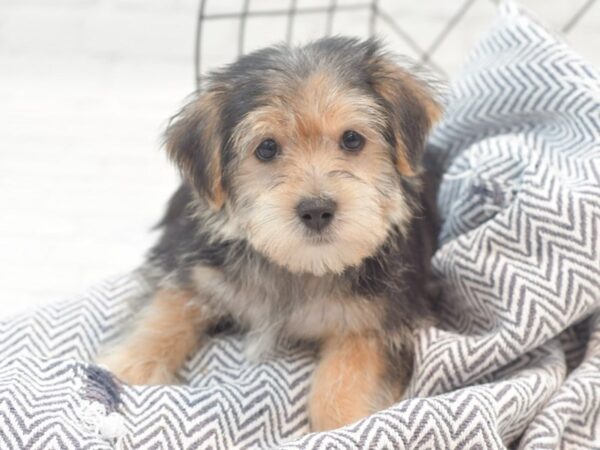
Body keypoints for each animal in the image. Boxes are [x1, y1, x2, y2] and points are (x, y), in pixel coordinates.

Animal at [98, 37, 442, 430]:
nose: (317, 210)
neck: (301, 267)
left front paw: (342, 425)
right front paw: (127, 365)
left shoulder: (380, 320)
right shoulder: (191, 266)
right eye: (266, 148)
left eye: (352, 140)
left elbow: (345, 377)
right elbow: (164, 311)